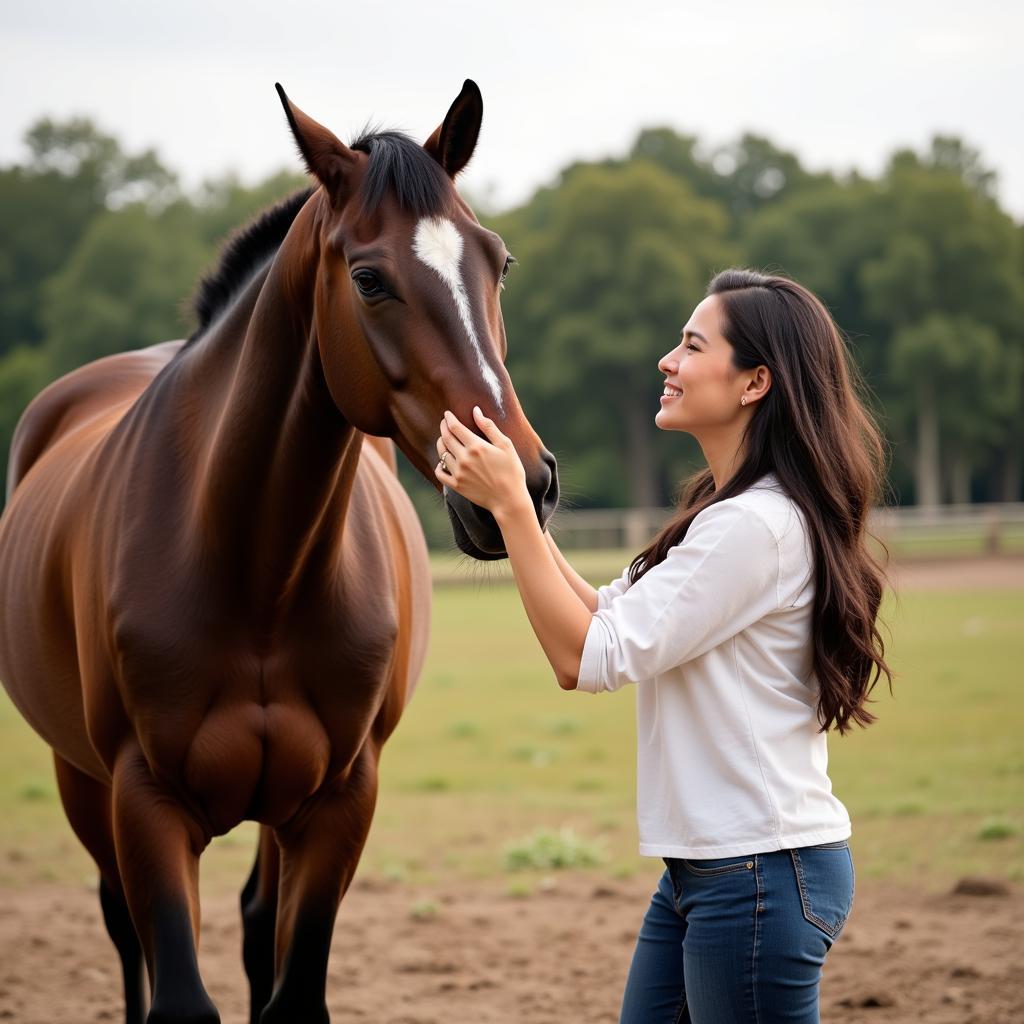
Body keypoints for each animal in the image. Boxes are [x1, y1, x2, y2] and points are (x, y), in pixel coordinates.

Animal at [0, 81, 557, 1024]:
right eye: (368, 278)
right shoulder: (143, 802)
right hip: (79, 780)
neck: (257, 569)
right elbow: (175, 988)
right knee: (121, 929)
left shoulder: (339, 803)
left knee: (258, 918)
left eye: (499, 262)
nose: (521, 483)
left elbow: (292, 988)